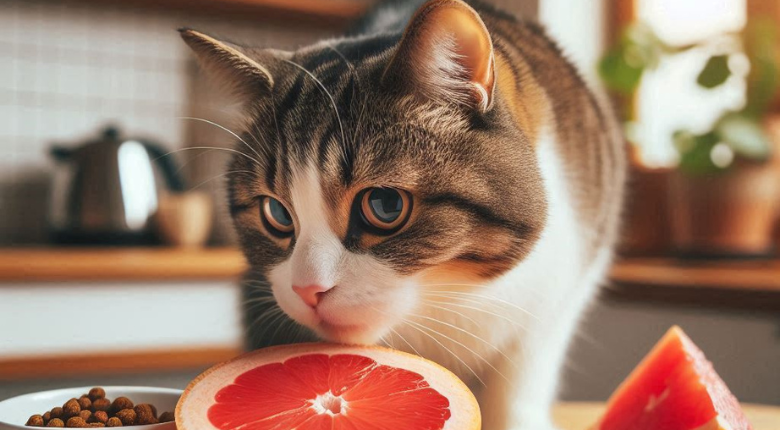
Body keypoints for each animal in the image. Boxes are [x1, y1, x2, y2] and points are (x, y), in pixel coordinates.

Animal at [180, 0, 624, 426]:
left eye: (384, 205)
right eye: (277, 213)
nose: (308, 290)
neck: (448, 301)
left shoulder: (559, 290)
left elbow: (519, 380)